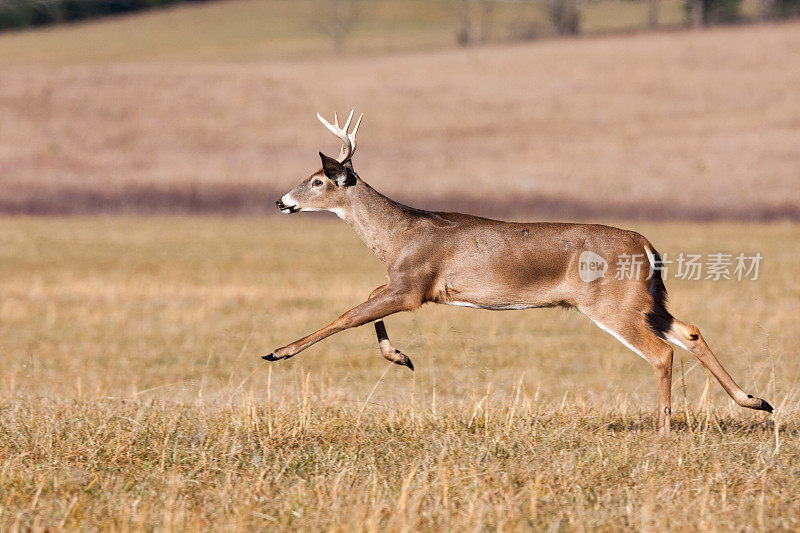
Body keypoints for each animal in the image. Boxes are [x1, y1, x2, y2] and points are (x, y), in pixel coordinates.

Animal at [266, 110, 772, 434]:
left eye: (317, 180)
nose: (281, 201)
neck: (398, 234)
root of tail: (648, 247)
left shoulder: (413, 286)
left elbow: (348, 315)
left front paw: (278, 352)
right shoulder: (408, 285)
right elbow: (367, 306)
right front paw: (400, 356)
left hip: (613, 304)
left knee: (661, 353)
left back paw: (665, 431)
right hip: (647, 301)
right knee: (689, 331)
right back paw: (755, 401)